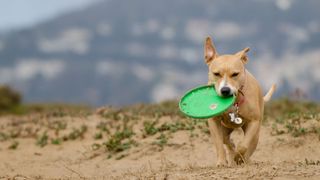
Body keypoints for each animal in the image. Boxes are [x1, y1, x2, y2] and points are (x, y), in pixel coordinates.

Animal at [205, 35, 276, 167]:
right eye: (216, 74)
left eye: (235, 74)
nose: (225, 90)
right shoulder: (213, 122)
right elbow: (218, 143)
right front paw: (221, 162)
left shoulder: (253, 122)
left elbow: (244, 145)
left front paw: (239, 157)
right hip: (225, 129)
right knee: (227, 141)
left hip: (256, 132)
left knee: (249, 146)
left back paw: (243, 160)